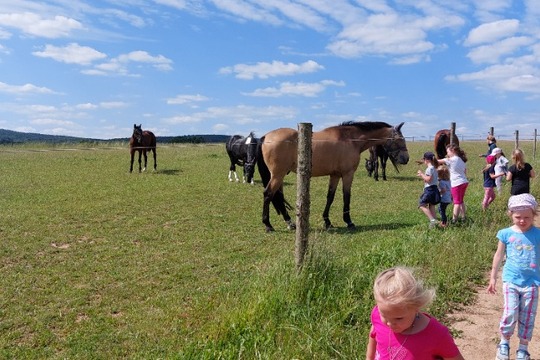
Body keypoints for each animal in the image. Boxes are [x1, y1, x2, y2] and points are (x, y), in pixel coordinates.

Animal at [258, 121, 410, 232]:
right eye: (399, 139)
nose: (406, 158)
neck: (350, 139)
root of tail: (266, 137)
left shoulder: (335, 175)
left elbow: (330, 197)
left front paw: (327, 221)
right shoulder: (348, 174)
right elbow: (346, 196)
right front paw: (348, 221)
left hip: (280, 175)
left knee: (278, 197)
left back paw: (290, 223)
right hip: (278, 175)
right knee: (268, 194)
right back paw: (268, 225)